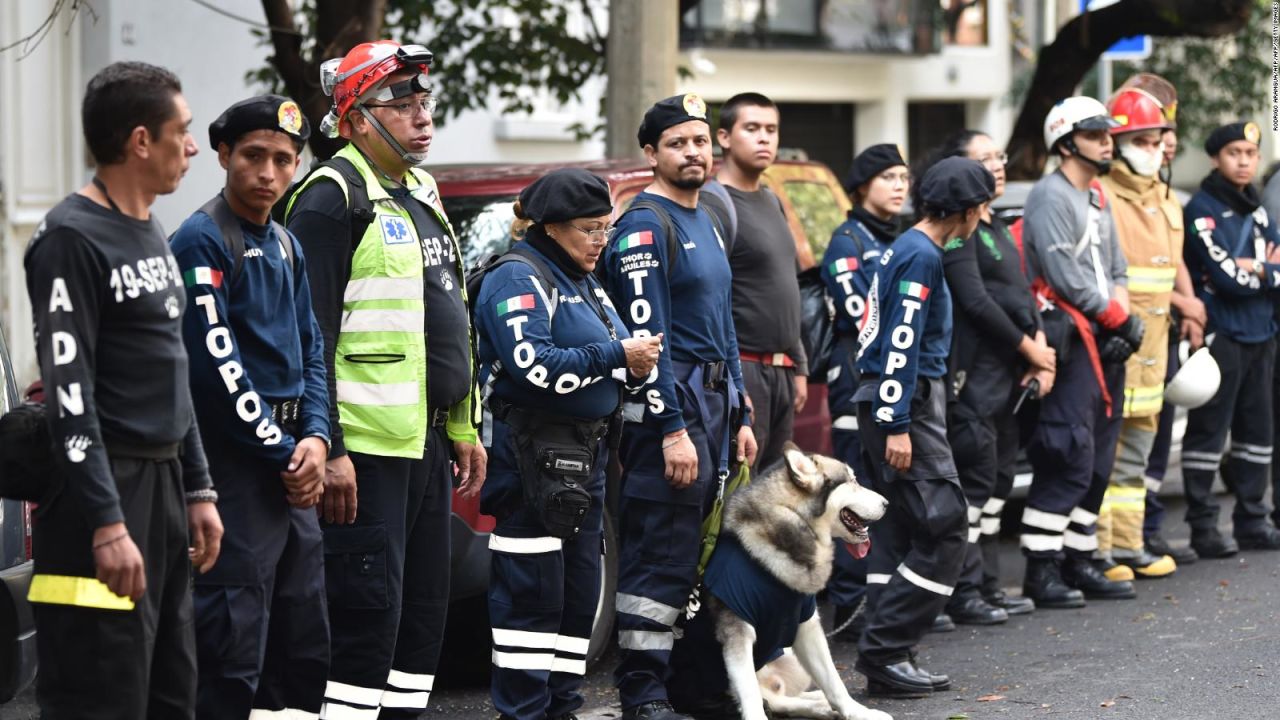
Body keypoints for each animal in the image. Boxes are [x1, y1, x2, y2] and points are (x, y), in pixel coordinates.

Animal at [670, 440, 890, 717]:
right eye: (853, 480)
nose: (887, 503)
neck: (792, 518)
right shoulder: (737, 632)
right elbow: (750, 693)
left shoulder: (807, 625)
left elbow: (834, 681)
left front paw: (857, 712)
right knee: (774, 700)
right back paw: (820, 707)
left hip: (787, 657)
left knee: (786, 695)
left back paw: (821, 702)